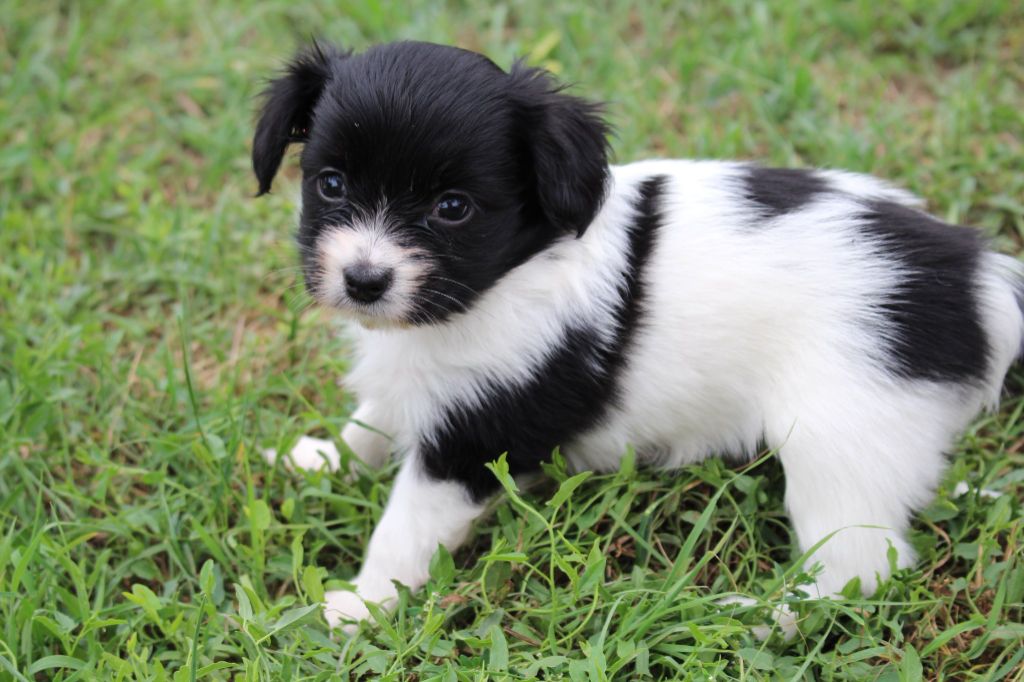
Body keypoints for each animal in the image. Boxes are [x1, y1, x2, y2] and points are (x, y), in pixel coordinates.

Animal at [249, 41, 1024, 630]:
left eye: (453, 208)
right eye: (330, 185)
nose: (365, 281)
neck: (507, 274)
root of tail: (978, 274)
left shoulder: (477, 437)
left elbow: (405, 525)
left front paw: (362, 605)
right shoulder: (422, 381)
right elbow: (374, 422)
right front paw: (321, 459)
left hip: (842, 440)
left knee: (859, 571)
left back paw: (758, 615)